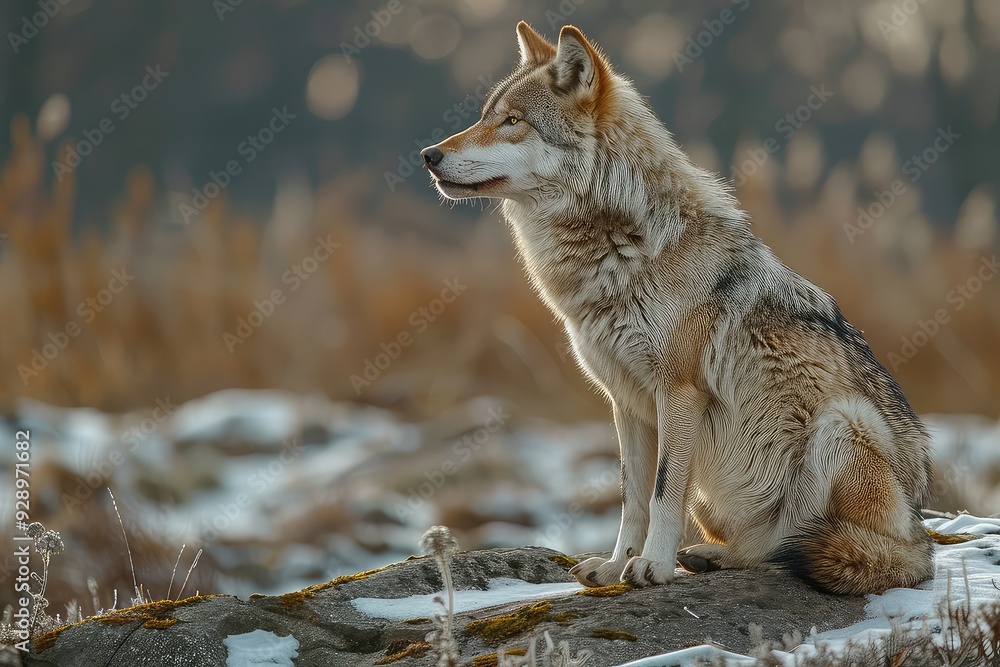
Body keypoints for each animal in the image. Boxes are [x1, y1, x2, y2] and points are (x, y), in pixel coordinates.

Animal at [420, 22, 934, 595]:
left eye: (512, 122)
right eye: (485, 116)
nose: (428, 155)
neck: (620, 250)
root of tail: (921, 543)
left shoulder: (678, 391)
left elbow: (663, 493)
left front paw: (653, 567)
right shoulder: (625, 402)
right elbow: (633, 499)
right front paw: (615, 566)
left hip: (840, 425)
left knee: (814, 550)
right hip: (722, 498)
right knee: (771, 550)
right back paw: (713, 557)